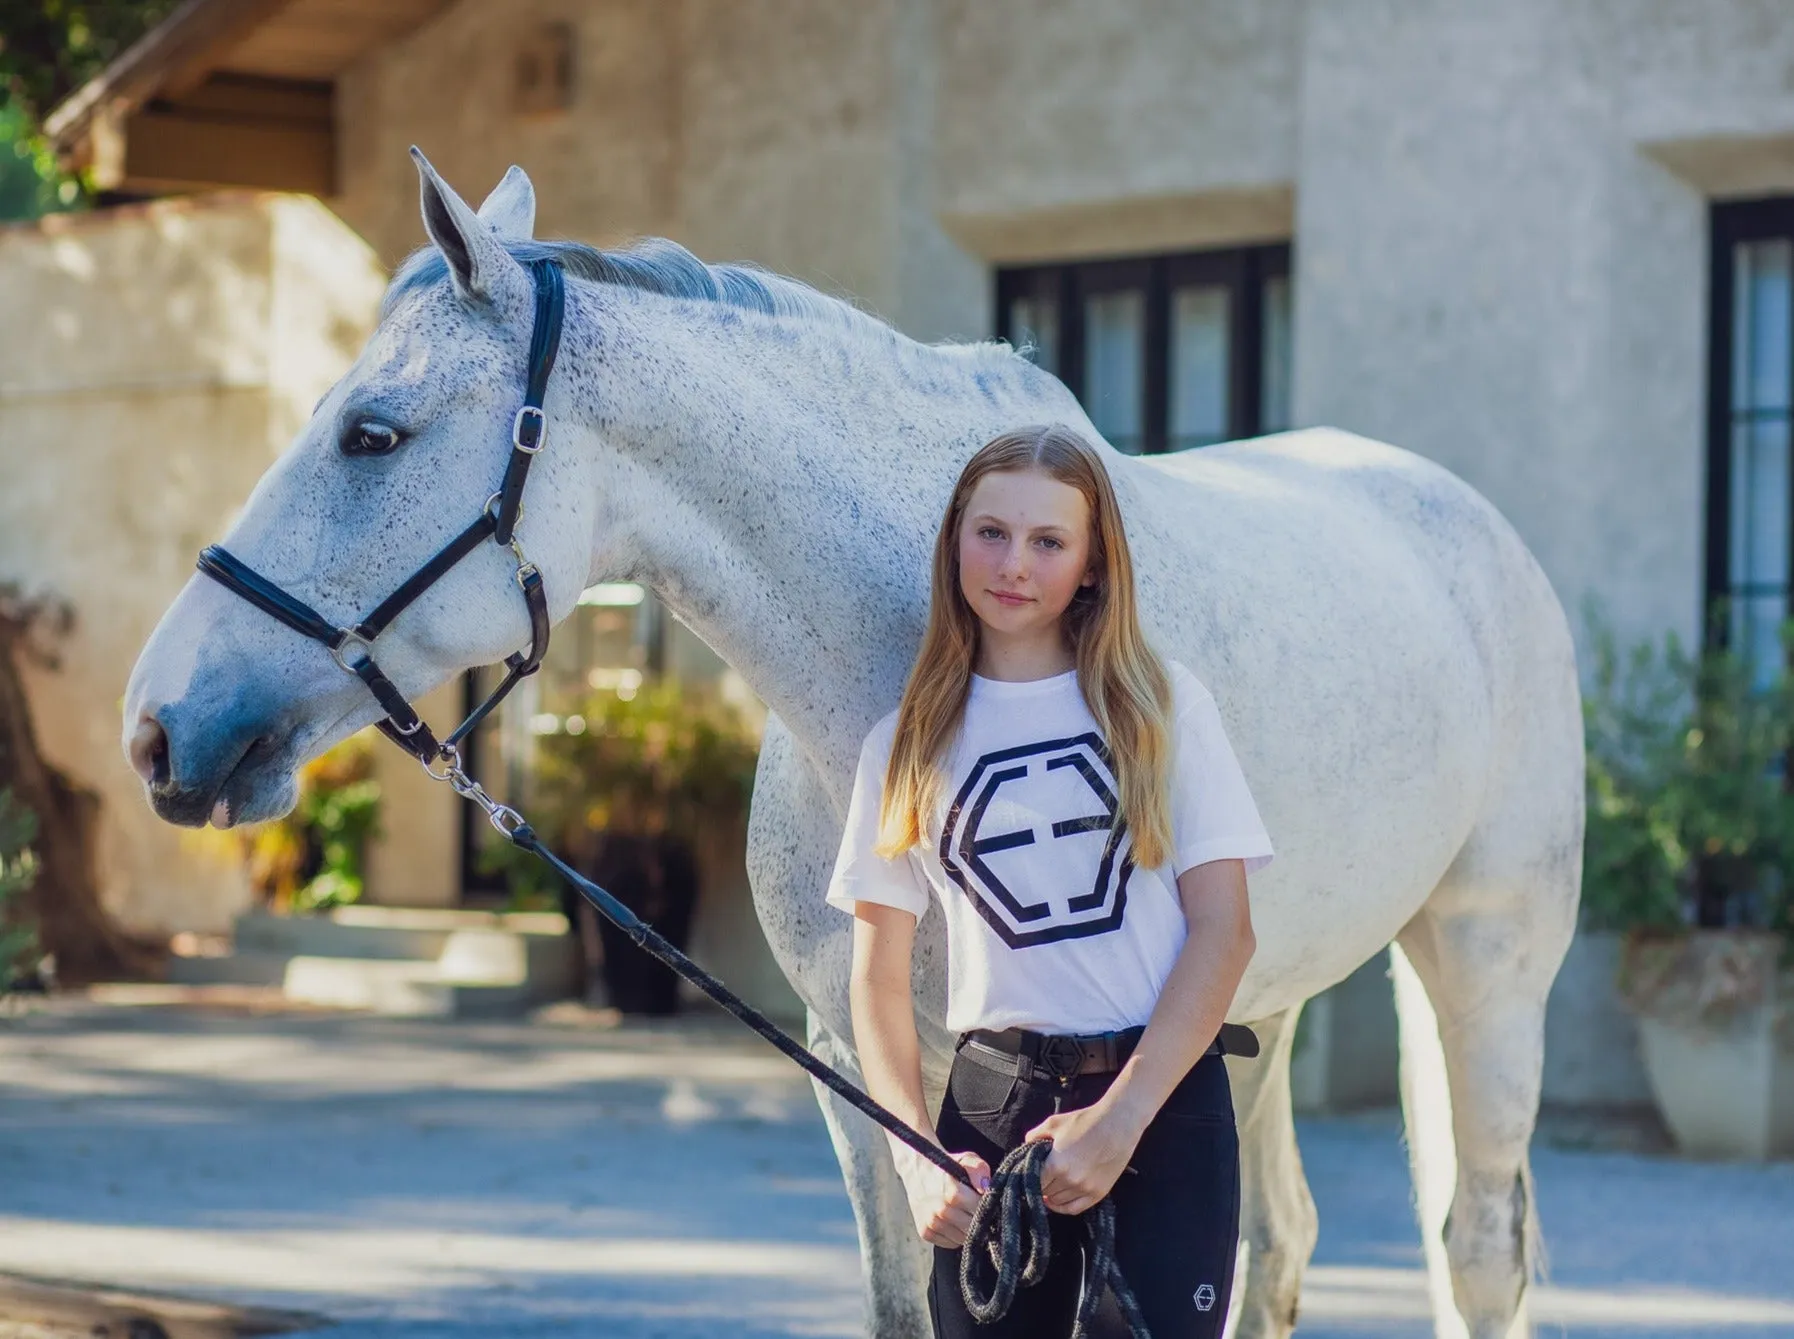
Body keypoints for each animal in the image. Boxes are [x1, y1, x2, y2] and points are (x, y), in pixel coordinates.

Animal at [130, 153, 1585, 1328]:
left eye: (372, 433)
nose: (158, 727)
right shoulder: (858, 1061)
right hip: (1262, 1008)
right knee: (1276, 1247)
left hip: (1480, 967)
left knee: (1473, 1249)